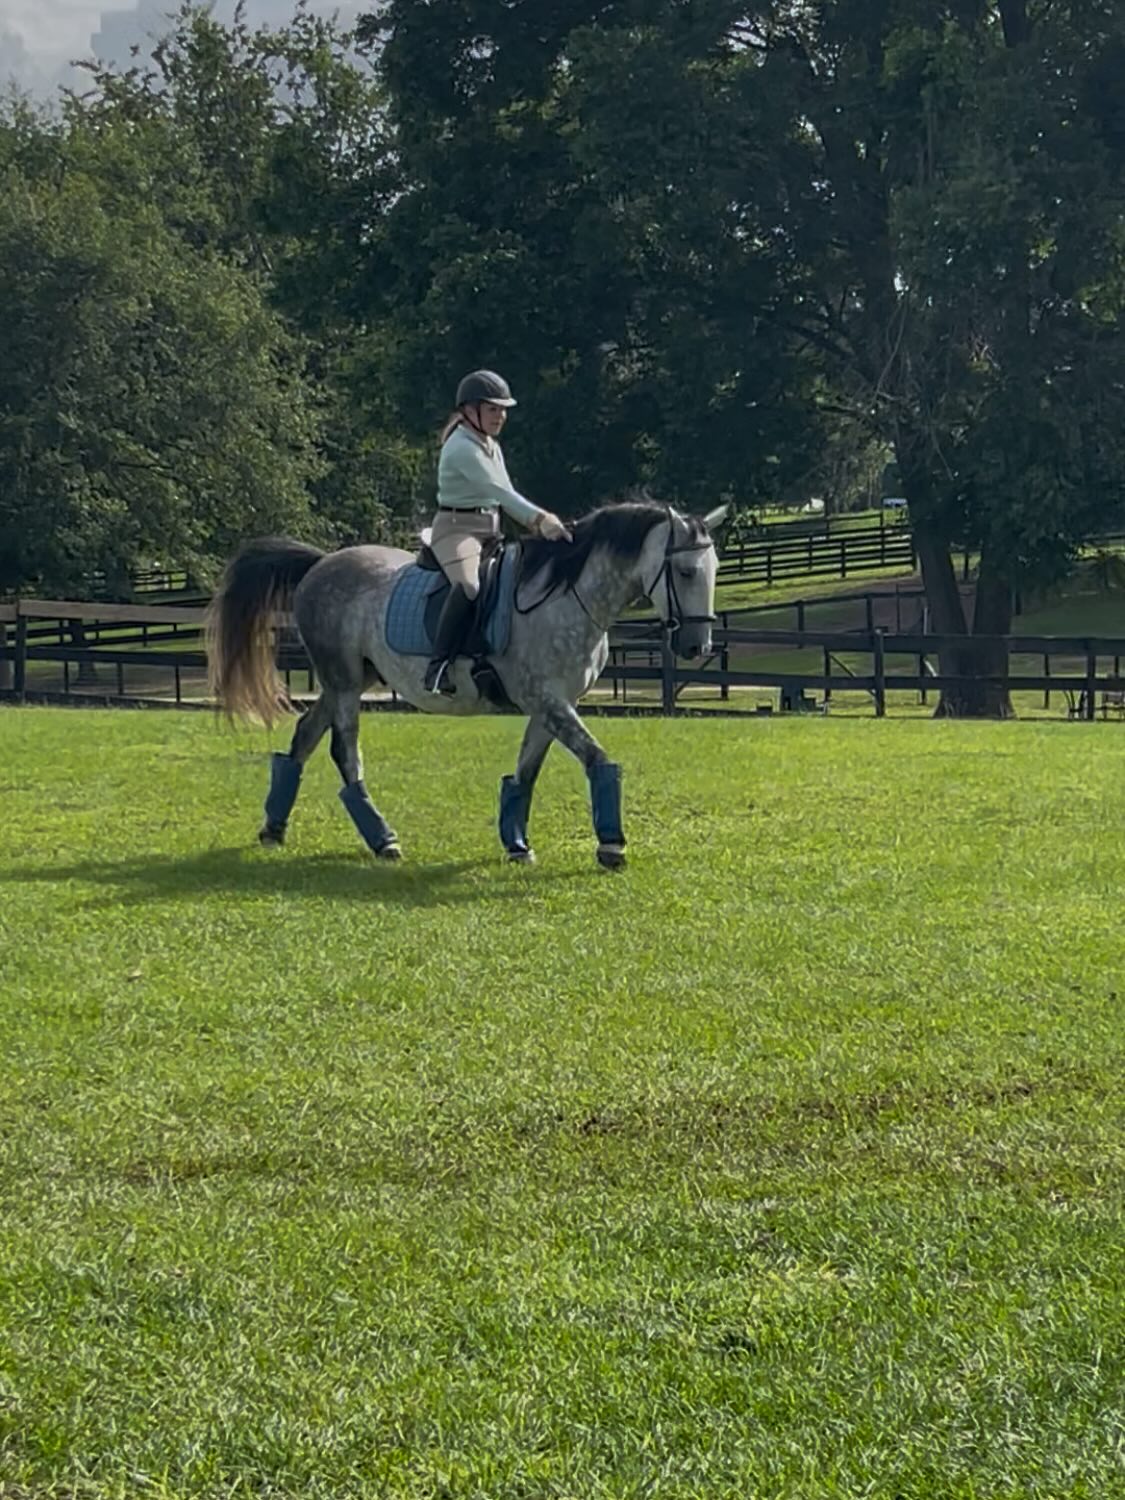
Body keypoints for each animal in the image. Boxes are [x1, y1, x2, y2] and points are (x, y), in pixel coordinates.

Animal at [206, 499, 728, 869]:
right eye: (685, 571)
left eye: (716, 570)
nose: (697, 646)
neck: (565, 595)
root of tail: (320, 563)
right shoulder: (549, 700)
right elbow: (597, 759)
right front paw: (612, 846)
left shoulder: (550, 705)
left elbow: (524, 775)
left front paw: (517, 845)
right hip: (345, 684)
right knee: (345, 753)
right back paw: (383, 840)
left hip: (345, 683)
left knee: (302, 740)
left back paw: (274, 829)